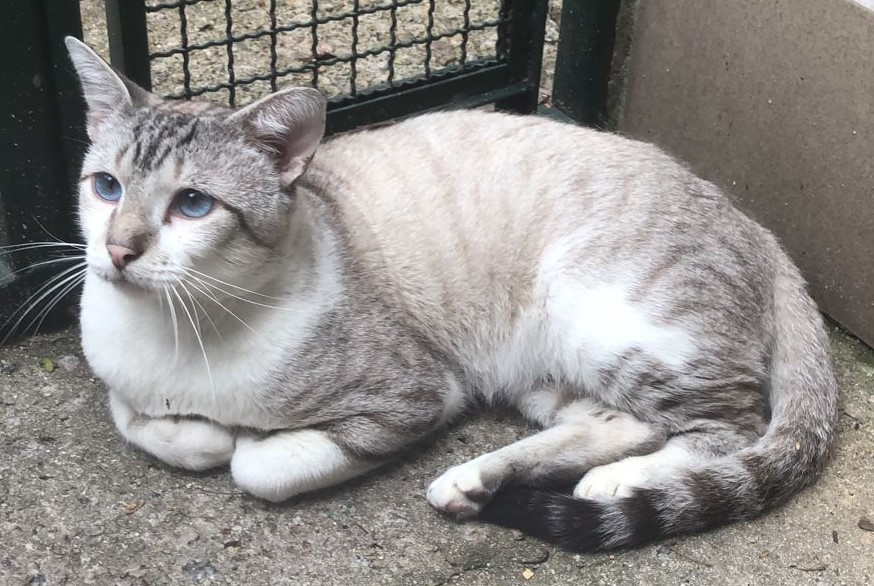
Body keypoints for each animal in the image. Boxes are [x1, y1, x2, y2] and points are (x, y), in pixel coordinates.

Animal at [64, 36, 836, 548]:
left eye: (193, 205)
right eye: (107, 187)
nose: (119, 250)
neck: (175, 332)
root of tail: (755, 224)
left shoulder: (415, 394)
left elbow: (257, 464)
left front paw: (232, 439)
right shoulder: (117, 376)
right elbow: (133, 417)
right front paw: (196, 432)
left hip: (601, 316)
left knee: (729, 426)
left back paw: (621, 484)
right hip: (540, 366)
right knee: (619, 421)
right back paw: (477, 483)